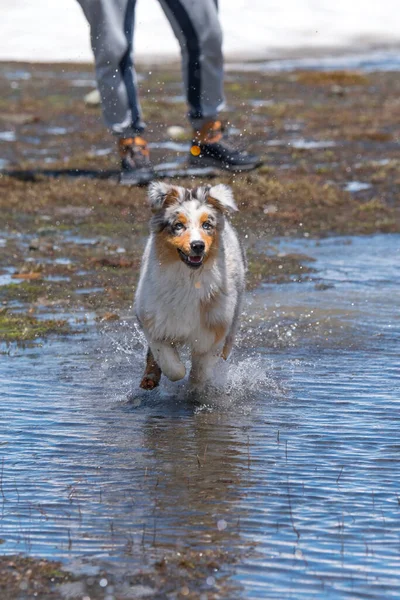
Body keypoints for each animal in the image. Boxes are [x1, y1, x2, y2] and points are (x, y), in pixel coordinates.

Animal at [136, 183, 245, 390]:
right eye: (178, 225)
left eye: (206, 225)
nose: (198, 245)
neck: (189, 278)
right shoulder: (153, 320)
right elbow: (171, 365)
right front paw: (176, 372)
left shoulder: (213, 330)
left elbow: (200, 371)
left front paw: (195, 387)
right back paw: (149, 378)